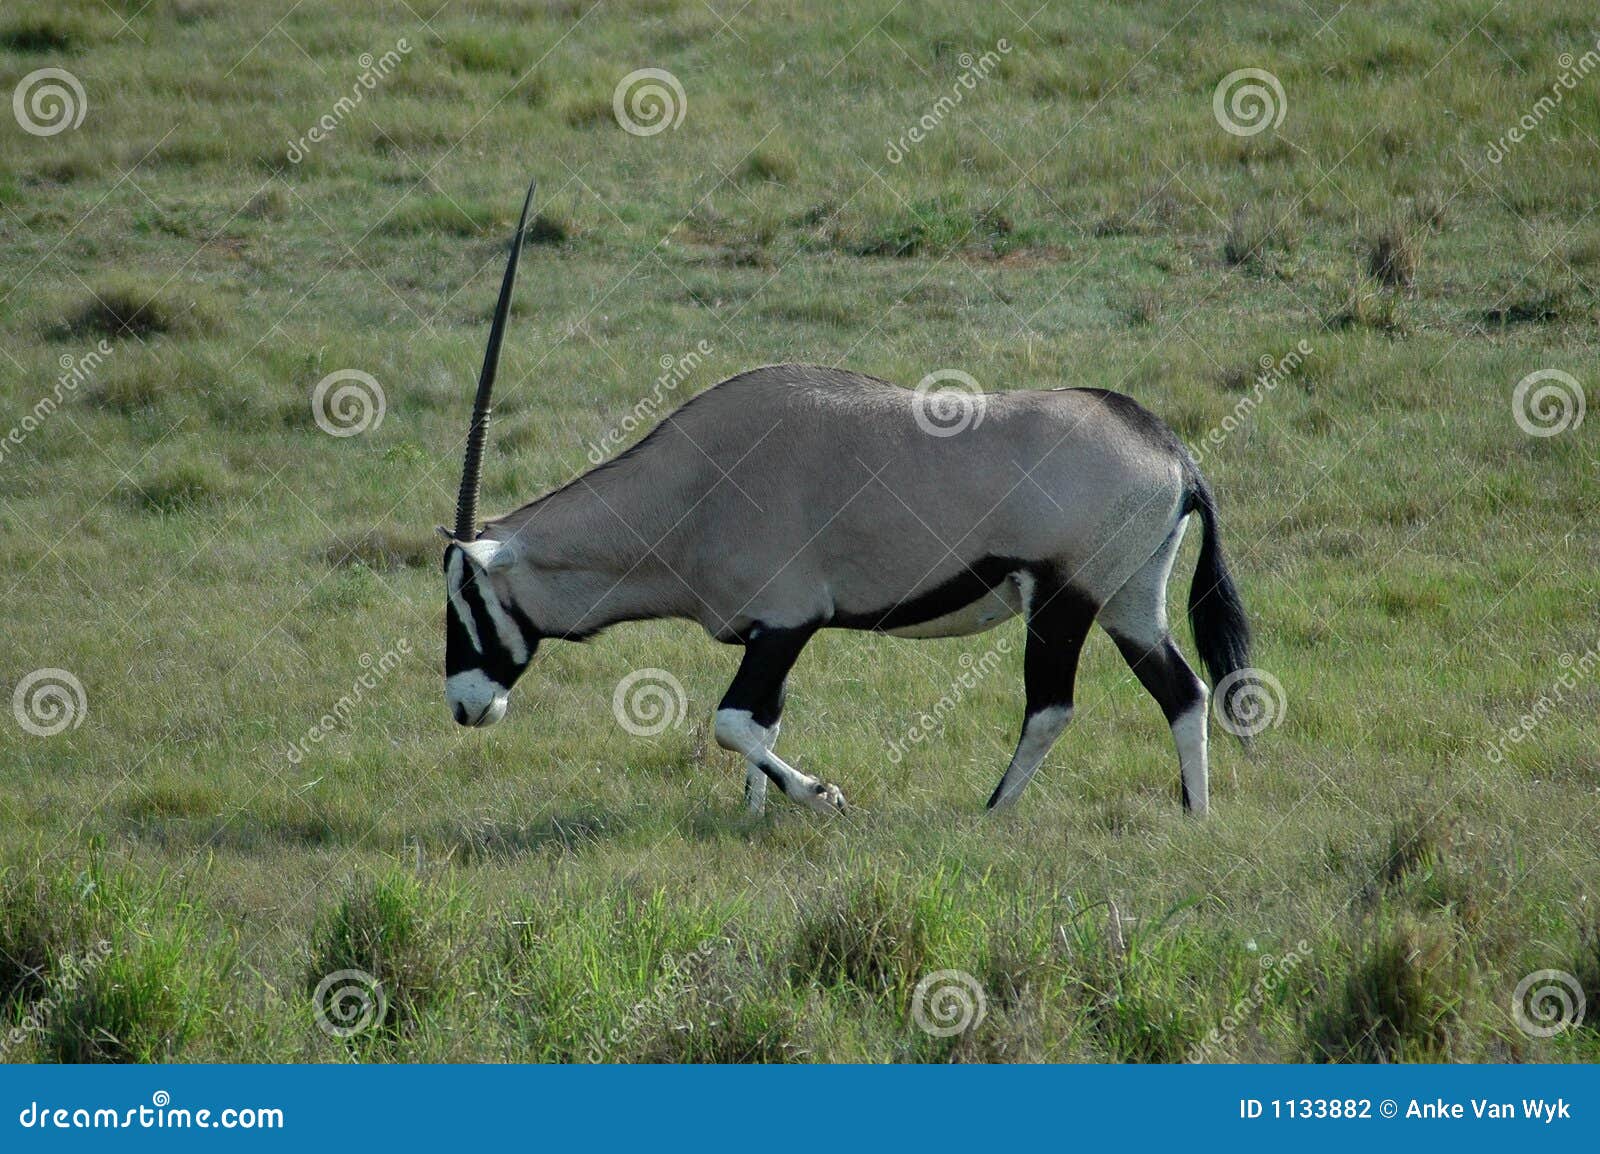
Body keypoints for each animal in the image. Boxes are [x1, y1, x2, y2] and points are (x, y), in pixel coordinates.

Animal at [441, 182, 1253, 816]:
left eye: (468, 596)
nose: (463, 704)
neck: (689, 492)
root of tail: (1171, 452)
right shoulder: (770, 634)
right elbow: (762, 722)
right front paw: (752, 812)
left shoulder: (786, 620)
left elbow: (735, 722)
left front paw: (820, 795)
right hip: (1128, 599)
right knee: (1181, 691)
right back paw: (1195, 815)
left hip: (1065, 601)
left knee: (1051, 707)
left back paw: (992, 812)